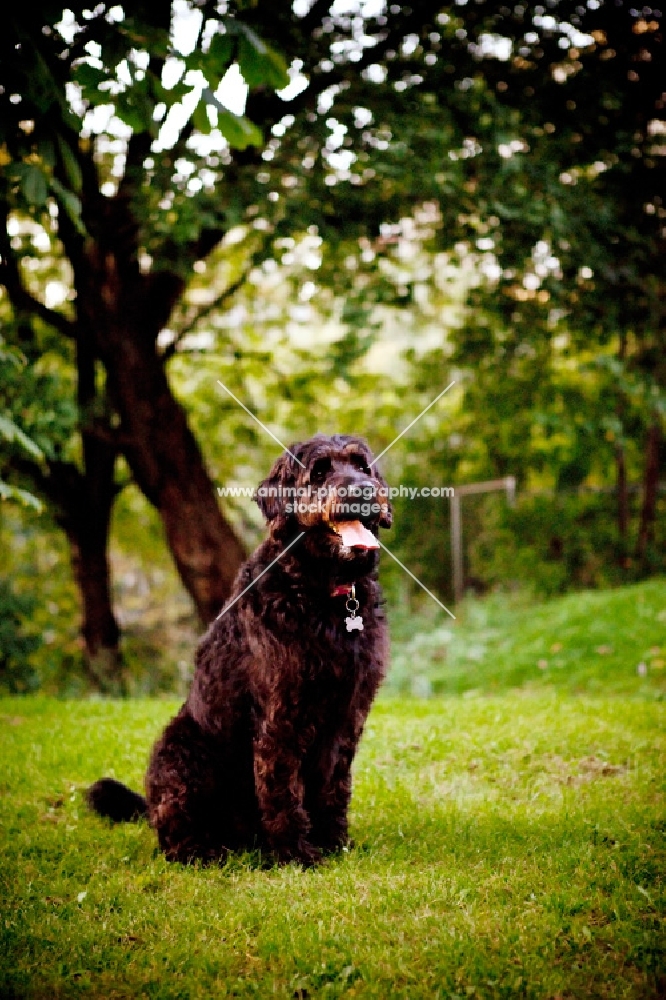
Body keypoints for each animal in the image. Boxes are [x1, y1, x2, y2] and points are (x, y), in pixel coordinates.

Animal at [87, 434, 390, 864]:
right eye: (318, 472)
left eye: (362, 467)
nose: (363, 491)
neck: (320, 594)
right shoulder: (281, 715)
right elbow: (281, 788)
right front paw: (297, 854)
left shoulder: (347, 714)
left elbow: (333, 785)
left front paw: (334, 845)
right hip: (181, 749)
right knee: (174, 835)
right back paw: (207, 851)